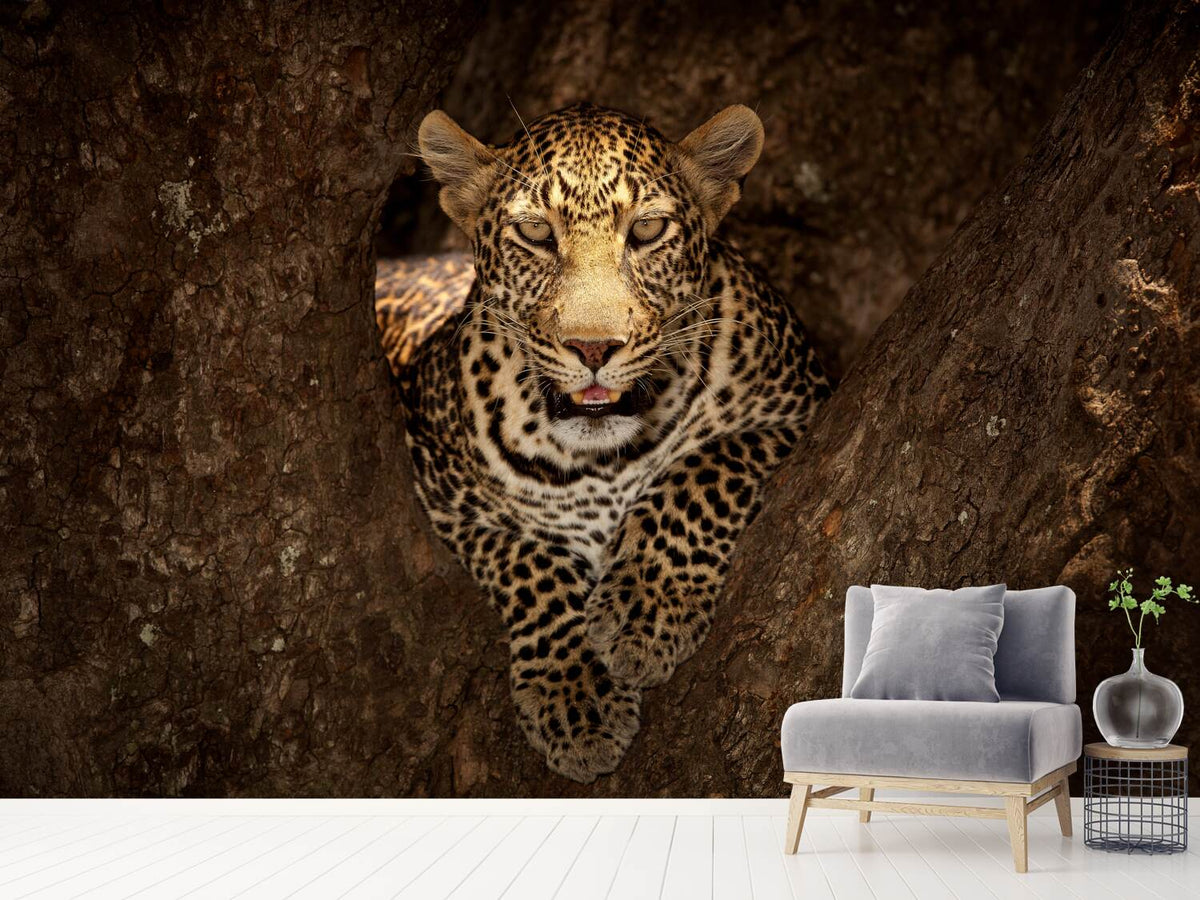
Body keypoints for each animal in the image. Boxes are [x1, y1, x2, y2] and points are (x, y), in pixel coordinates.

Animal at [378, 102, 831, 783]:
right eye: (536, 234)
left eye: (646, 229)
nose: (593, 348)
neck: (601, 461)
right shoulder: (442, 493)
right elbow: (528, 562)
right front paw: (576, 696)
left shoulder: (801, 406)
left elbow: (701, 470)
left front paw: (646, 609)